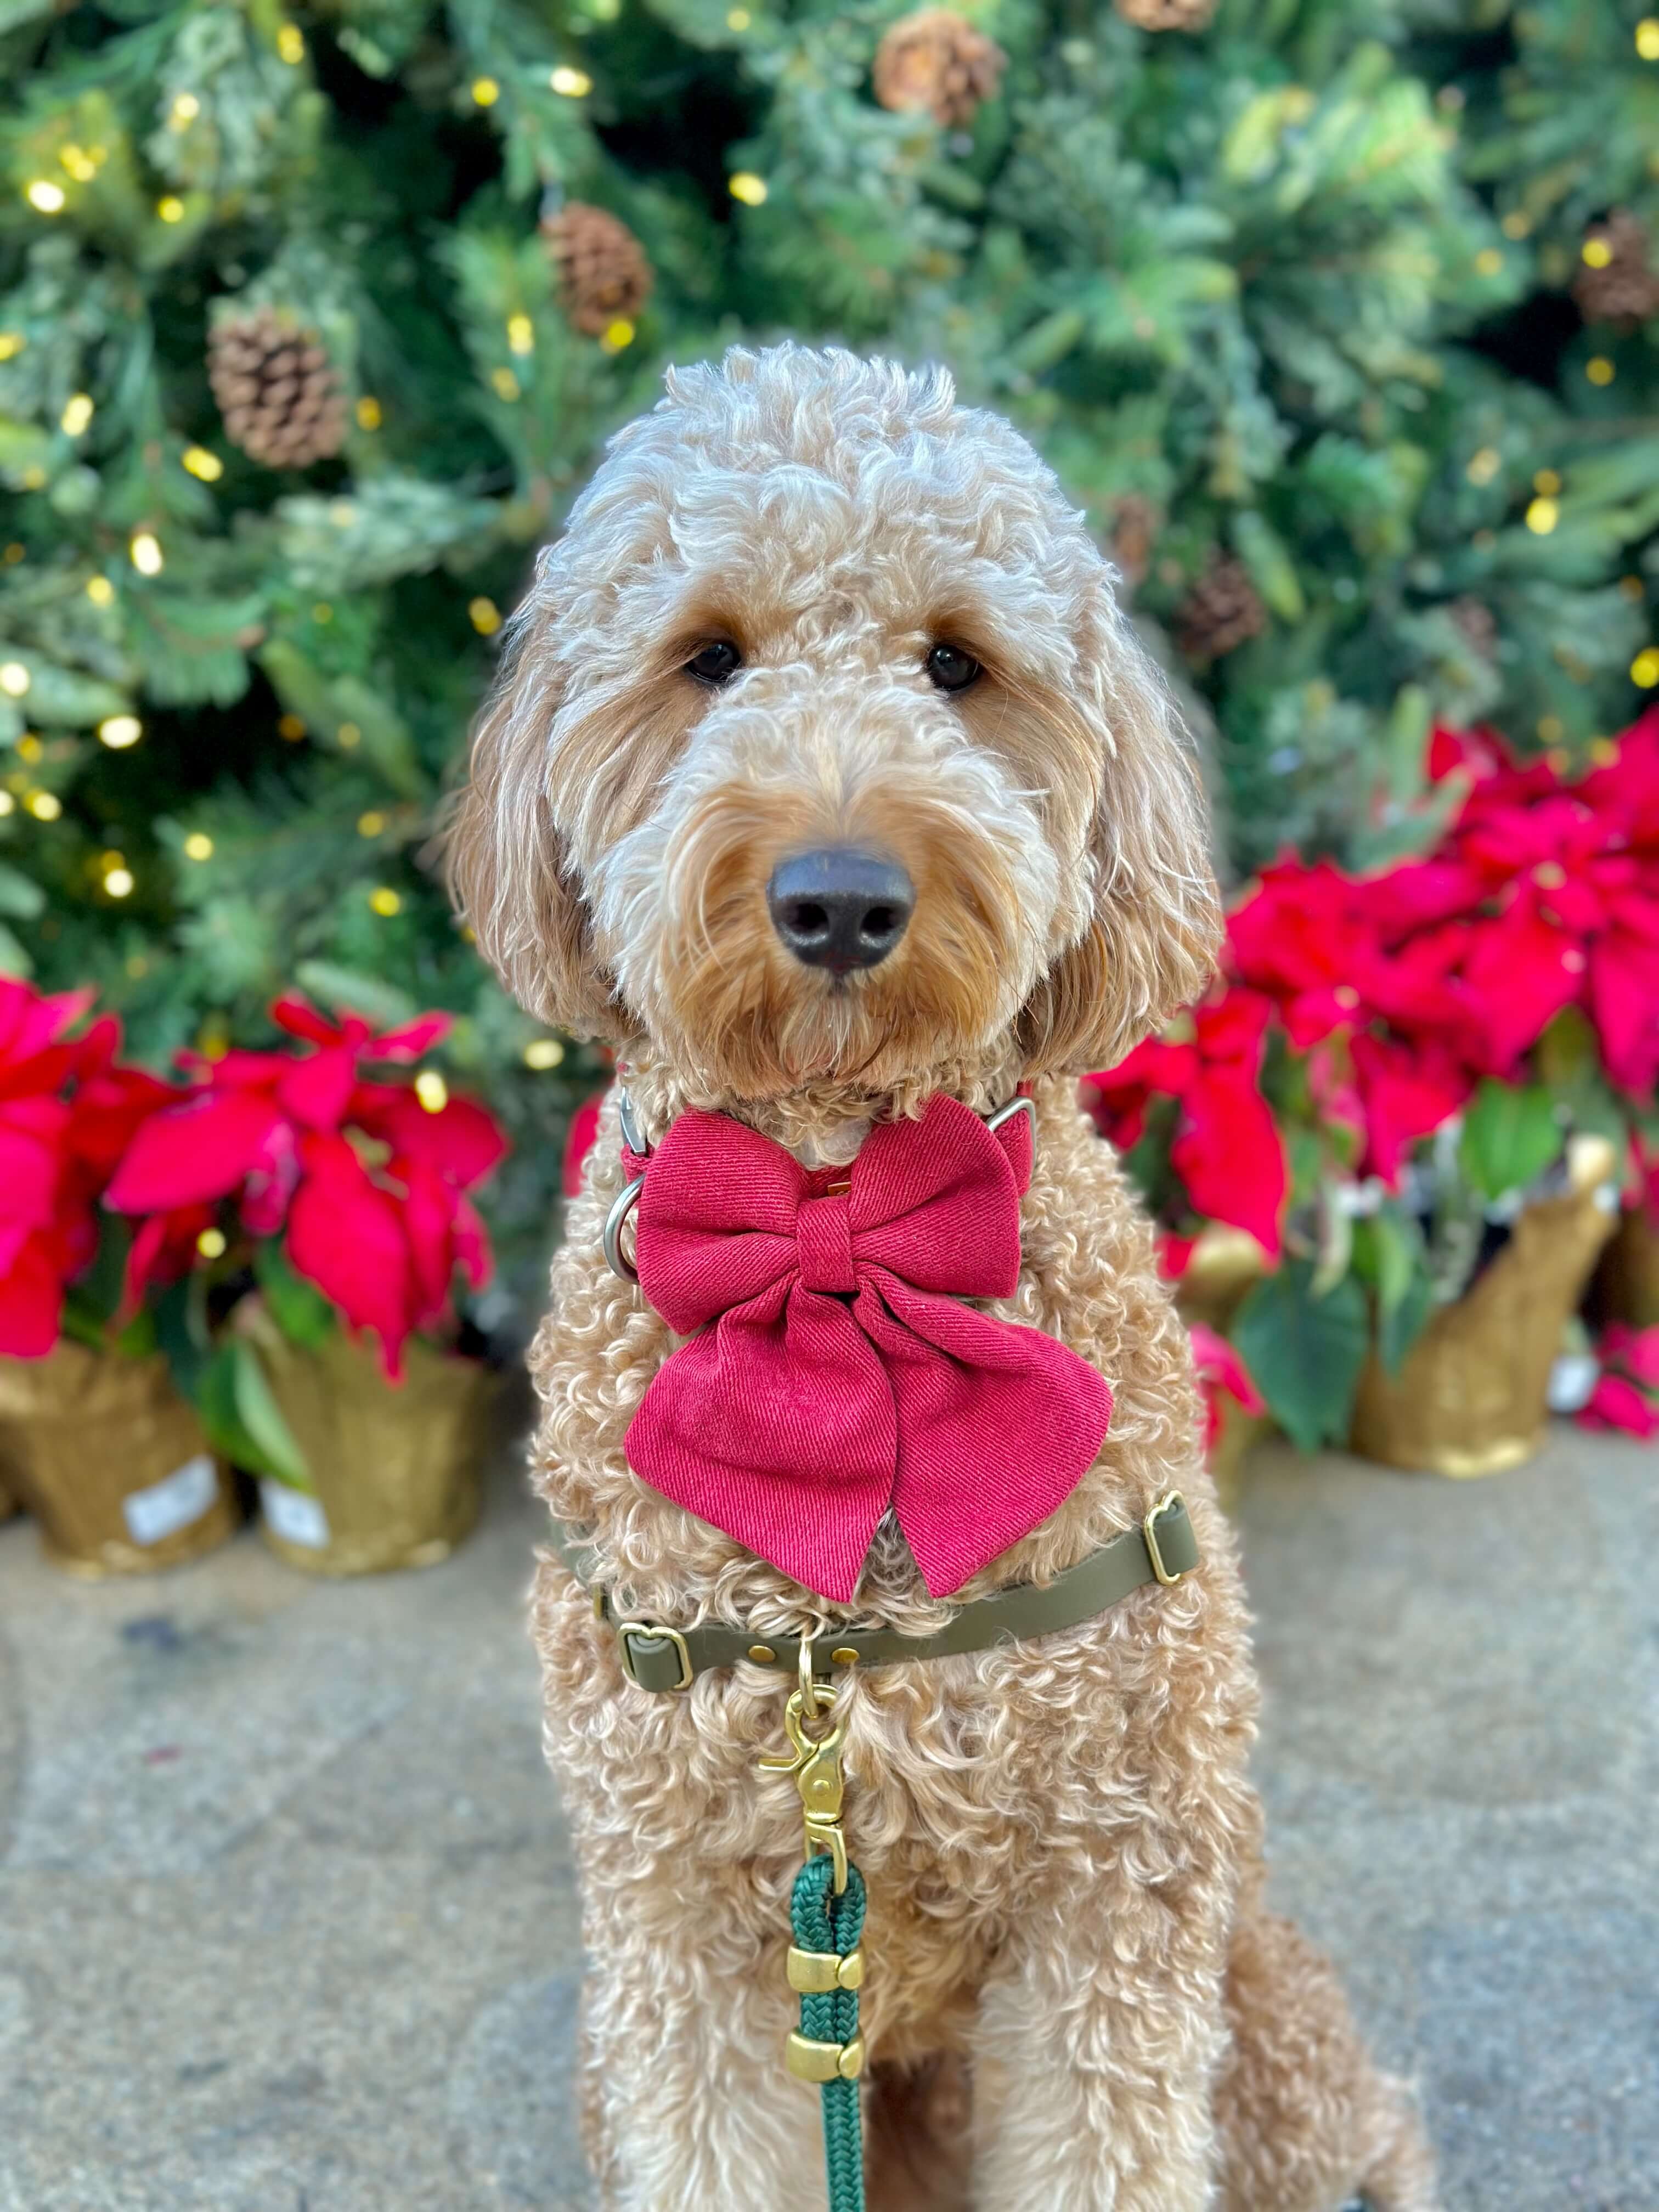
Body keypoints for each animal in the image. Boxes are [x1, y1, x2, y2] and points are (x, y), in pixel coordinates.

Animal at [444, 340, 1442, 2212]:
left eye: (957, 664)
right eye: (709, 656)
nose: (839, 896)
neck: (841, 1232)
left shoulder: (1113, 1890)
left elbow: (1112, 2146)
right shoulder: (677, 1923)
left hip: (1261, 2007)